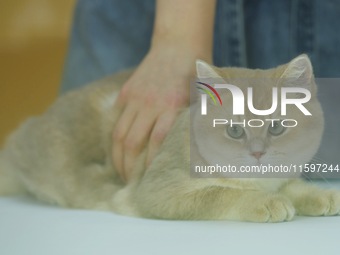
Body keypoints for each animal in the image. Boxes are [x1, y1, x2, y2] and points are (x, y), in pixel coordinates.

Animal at [0, 54, 340, 222]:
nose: (257, 154)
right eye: (234, 130)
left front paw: (320, 195)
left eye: (277, 127)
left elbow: (292, 186)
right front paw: (265, 202)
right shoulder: (158, 191)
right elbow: (221, 194)